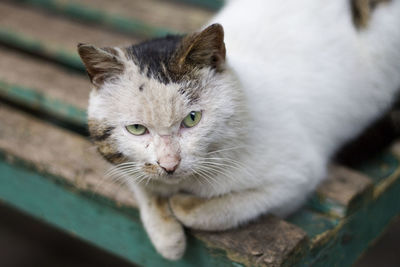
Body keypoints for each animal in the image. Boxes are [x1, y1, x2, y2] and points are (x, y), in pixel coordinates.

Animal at [77, 0, 400, 260]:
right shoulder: (128, 164)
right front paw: (167, 236)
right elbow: (145, 189)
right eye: (136, 129)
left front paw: (182, 205)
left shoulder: (295, 179)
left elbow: (222, 209)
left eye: (192, 119)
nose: (169, 164)